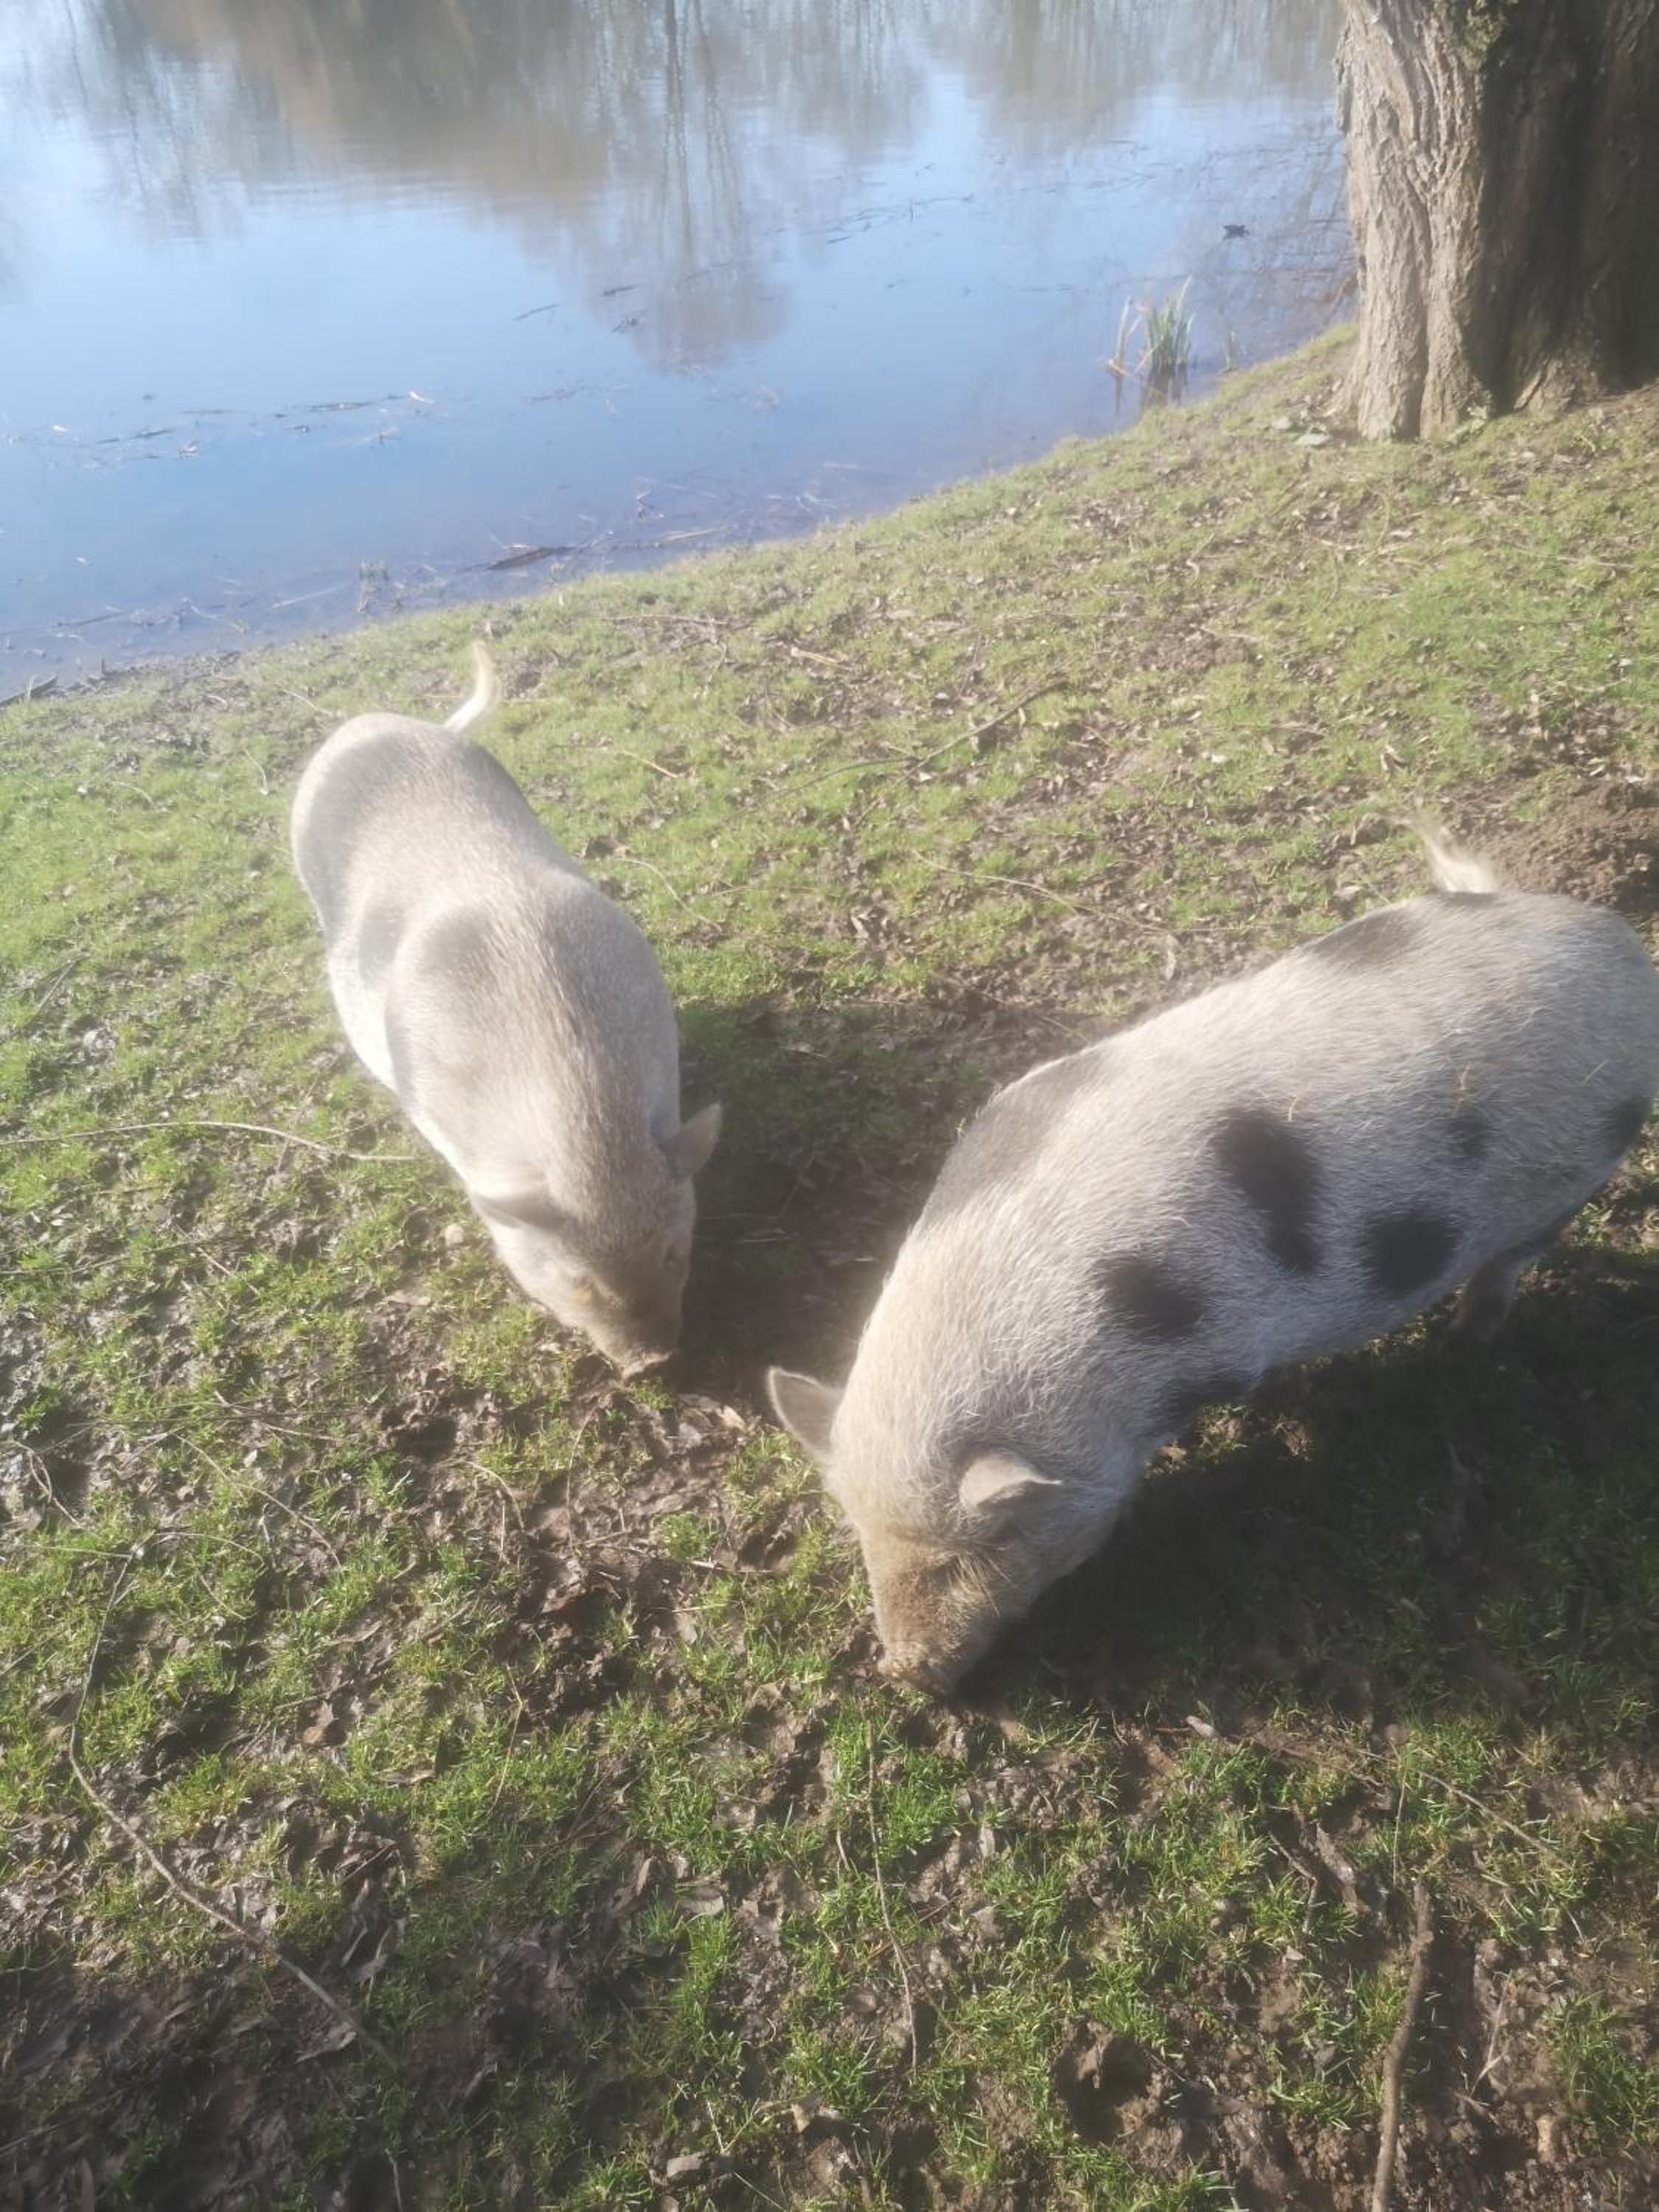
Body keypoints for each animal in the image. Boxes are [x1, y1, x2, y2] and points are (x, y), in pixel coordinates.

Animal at [768, 823, 1659, 1692]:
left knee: (1512, 1261)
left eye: (984, 1545)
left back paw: (1469, 1338)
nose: (906, 1674)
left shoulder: (1217, 1352)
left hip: (1577, 1169)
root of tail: (1616, 939)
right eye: (859, 1533)